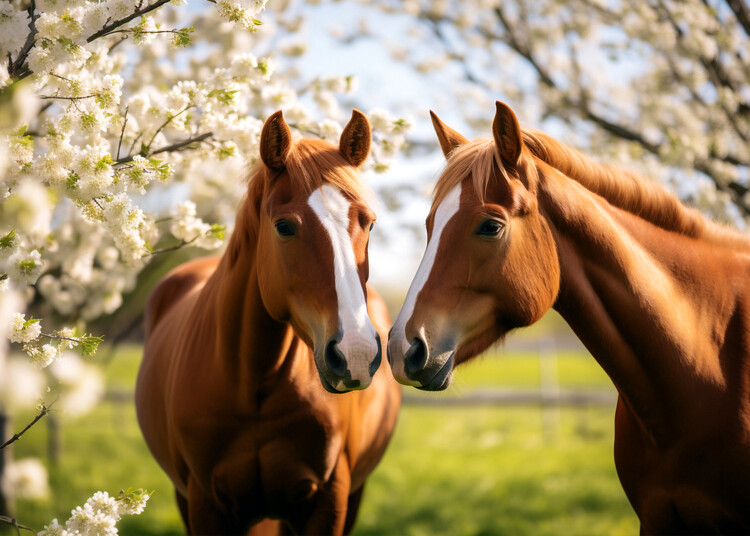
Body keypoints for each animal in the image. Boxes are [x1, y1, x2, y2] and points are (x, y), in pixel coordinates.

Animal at [137, 110, 402, 536]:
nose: (356, 353)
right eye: (284, 226)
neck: (254, 381)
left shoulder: (330, 500)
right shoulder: (204, 502)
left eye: (370, 223)